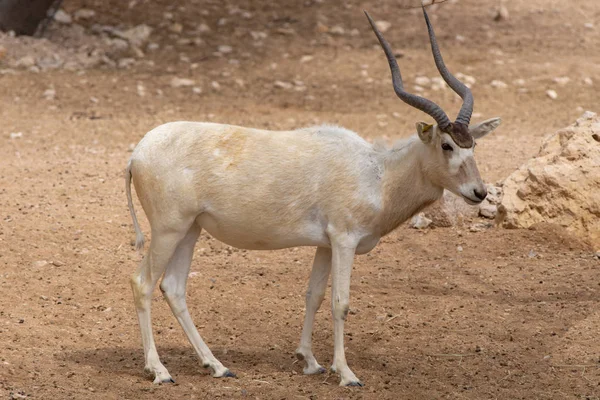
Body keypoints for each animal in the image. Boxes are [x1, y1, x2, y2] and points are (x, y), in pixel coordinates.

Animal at [124, 7, 500, 388]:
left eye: (473, 144)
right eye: (446, 145)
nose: (479, 192)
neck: (378, 173)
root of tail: (137, 154)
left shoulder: (325, 244)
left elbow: (314, 295)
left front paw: (310, 361)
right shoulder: (345, 240)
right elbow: (341, 302)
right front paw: (346, 373)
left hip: (190, 229)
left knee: (173, 287)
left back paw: (216, 365)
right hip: (169, 229)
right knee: (143, 283)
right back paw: (159, 371)